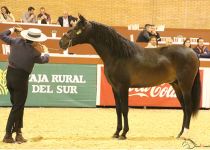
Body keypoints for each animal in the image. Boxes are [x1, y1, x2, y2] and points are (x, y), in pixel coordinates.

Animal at [59, 14, 200, 139]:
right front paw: (116, 133)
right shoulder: (115, 88)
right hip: (176, 86)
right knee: (184, 109)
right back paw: (179, 134)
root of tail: (192, 52)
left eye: (77, 29)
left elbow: (125, 109)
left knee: (188, 108)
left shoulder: (123, 87)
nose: (61, 42)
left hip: (185, 86)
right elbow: (118, 110)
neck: (118, 55)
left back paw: (185, 134)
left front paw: (124, 133)